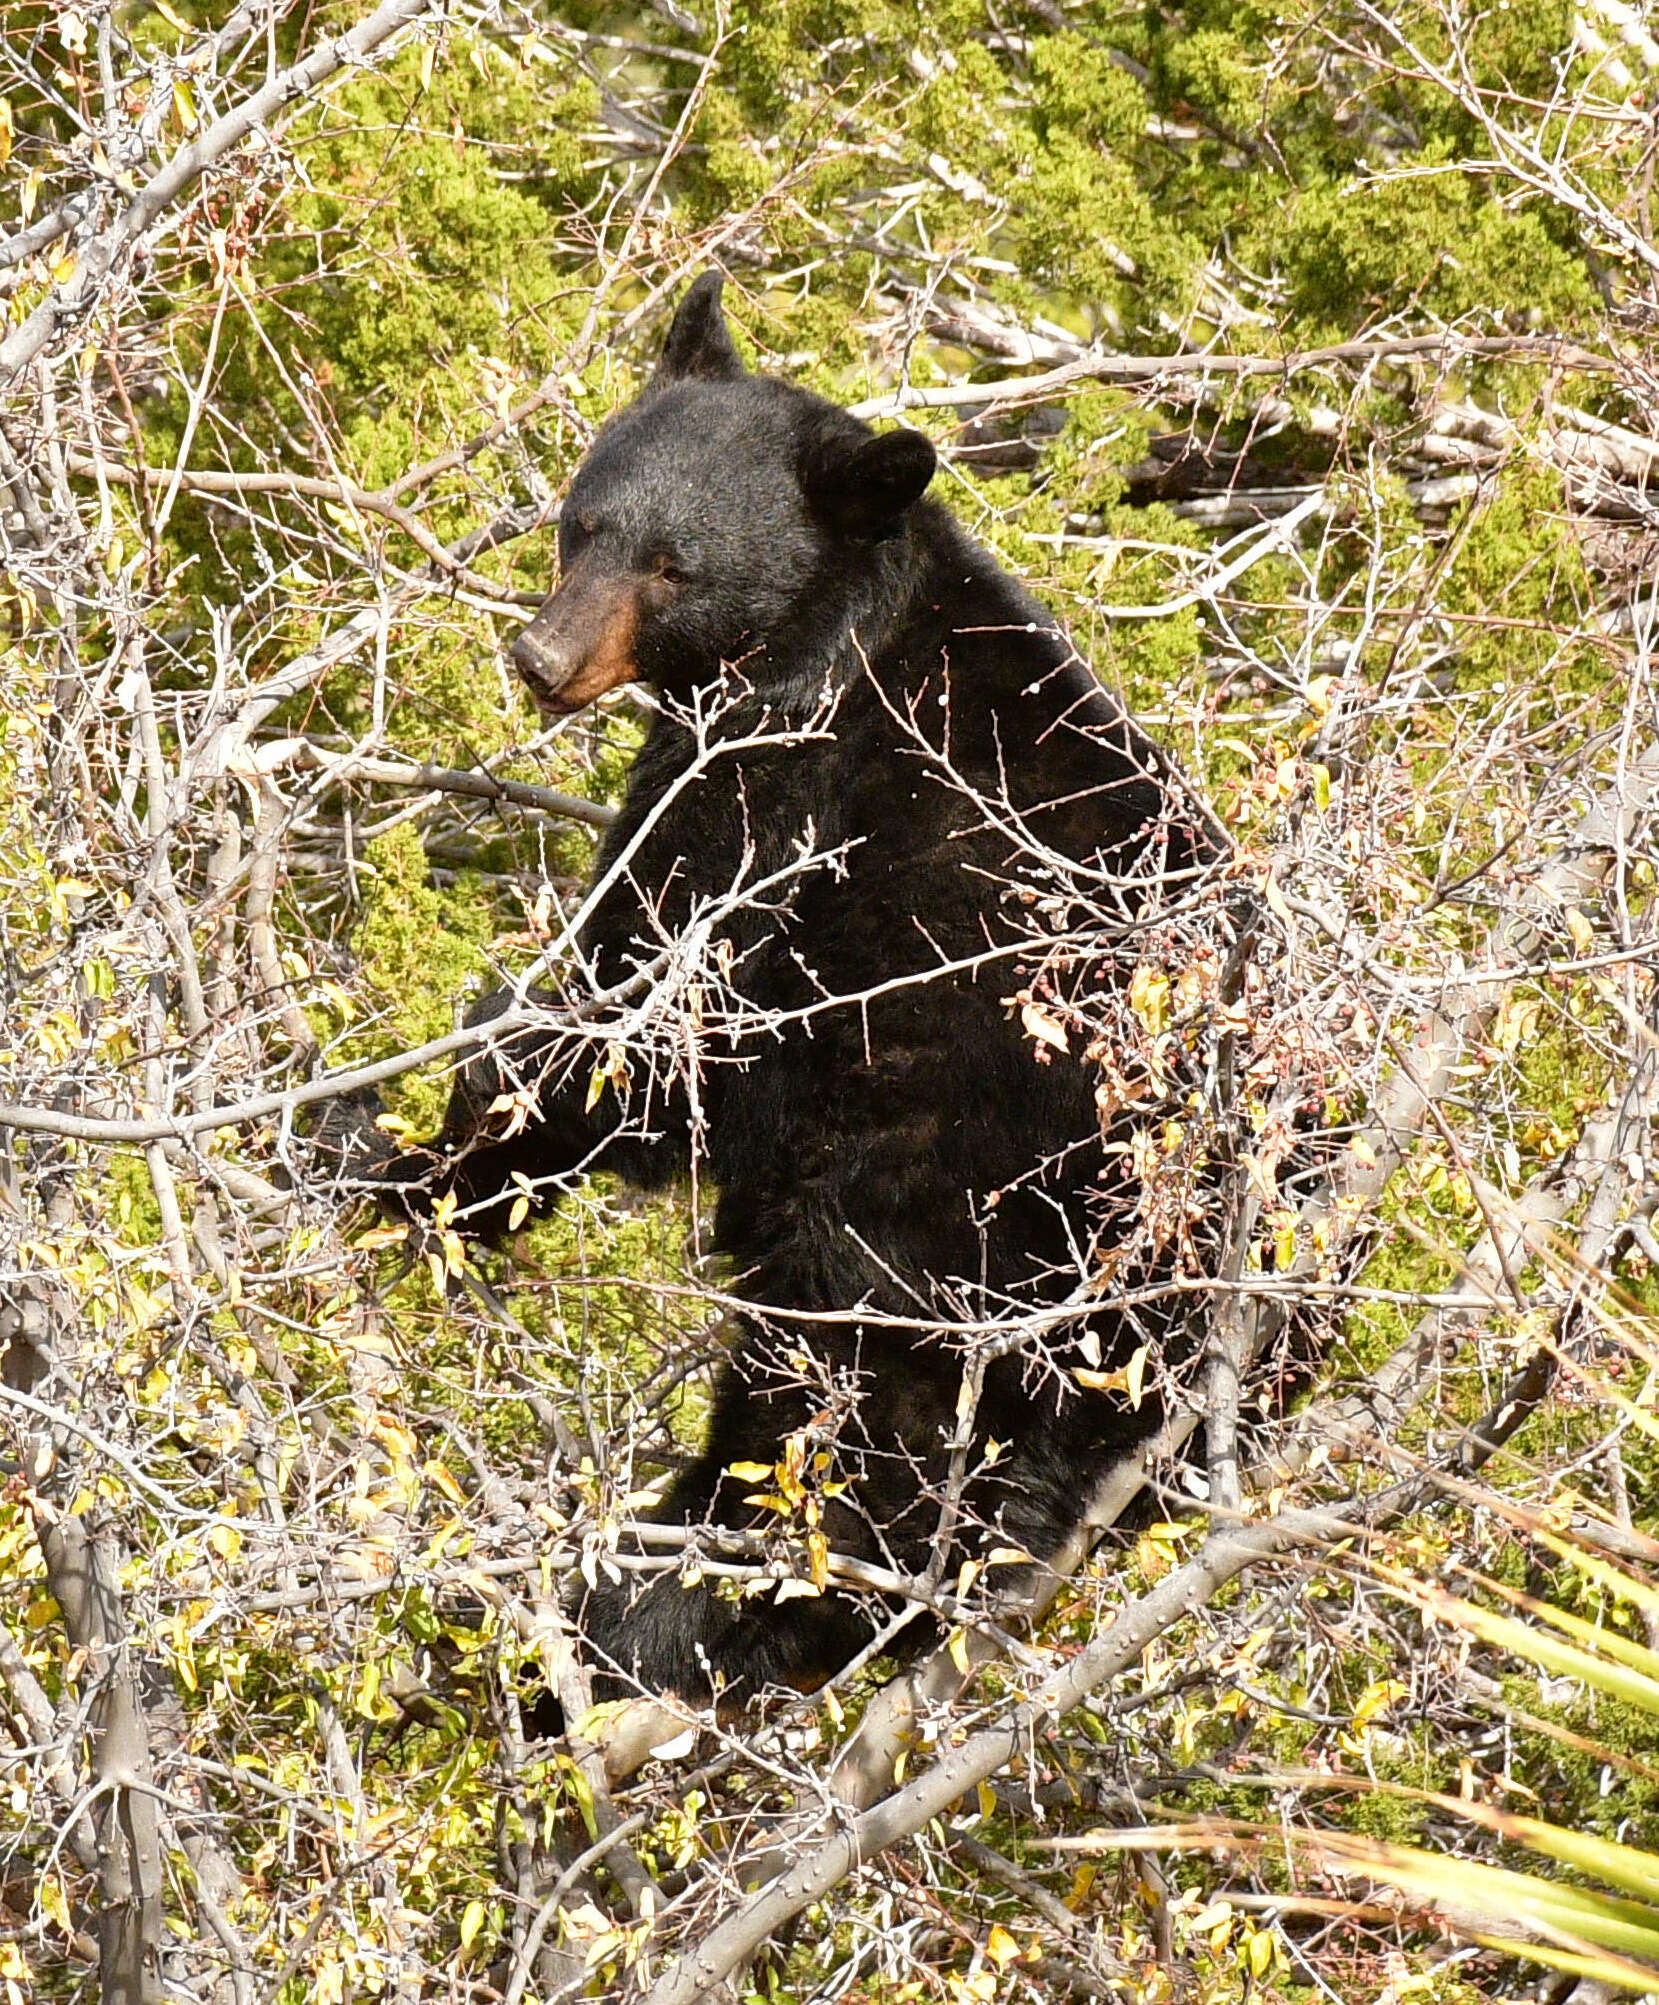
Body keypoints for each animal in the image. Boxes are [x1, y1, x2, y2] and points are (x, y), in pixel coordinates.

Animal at [383, 270, 1227, 1708]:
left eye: (676, 565)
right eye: (583, 523)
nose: (541, 659)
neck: (833, 637)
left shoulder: (772, 803)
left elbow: (637, 1027)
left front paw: (411, 1163)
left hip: (951, 1218)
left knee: (837, 1429)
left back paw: (652, 1615)